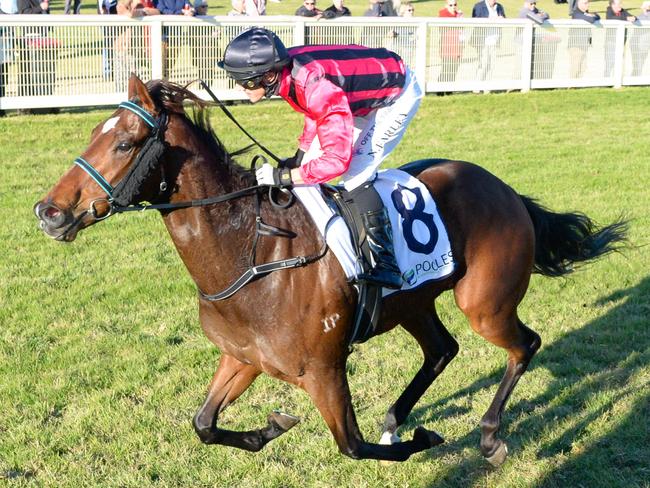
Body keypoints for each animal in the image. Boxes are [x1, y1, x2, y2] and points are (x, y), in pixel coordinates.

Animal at [34, 77, 624, 466]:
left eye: (125, 142)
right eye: (93, 132)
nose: (49, 211)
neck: (251, 253)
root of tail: (508, 192)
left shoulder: (323, 369)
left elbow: (352, 446)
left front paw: (425, 439)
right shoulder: (244, 357)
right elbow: (203, 424)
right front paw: (270, 427)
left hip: (485, 303)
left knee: (524, 345)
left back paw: (488, 436)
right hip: (413, 302)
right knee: (442, 349)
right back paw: (396, 418)